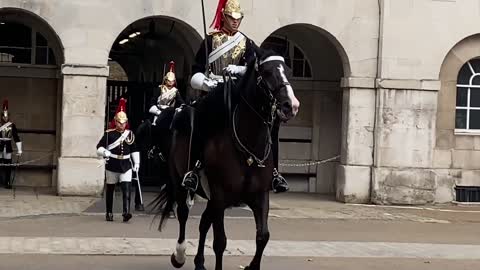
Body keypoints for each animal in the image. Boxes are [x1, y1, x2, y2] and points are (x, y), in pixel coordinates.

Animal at [156, 47, 298, 268]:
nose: (290, 106)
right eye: (266, 72)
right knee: (183, 213)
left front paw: (251, 267)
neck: (248, 148)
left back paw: (199, 262)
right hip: (180, 182)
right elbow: (220, 242)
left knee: (204, 222)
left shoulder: (259, 195)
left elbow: (263, 236)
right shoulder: (220, 195)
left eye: (289, 71)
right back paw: (179, 255)